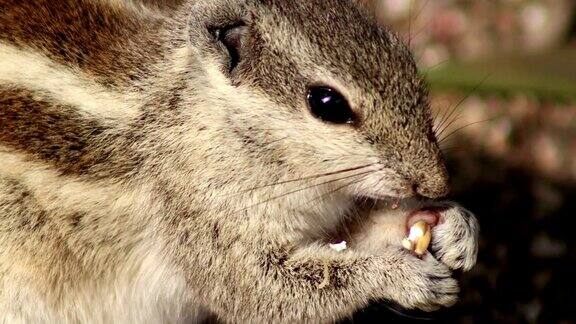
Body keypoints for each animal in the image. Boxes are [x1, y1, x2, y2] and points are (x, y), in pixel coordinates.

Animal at [0, 0, 476, 322]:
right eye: (327, 103)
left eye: (407, 59)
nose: (437, 182)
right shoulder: (202, 218)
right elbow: (261, 288)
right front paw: (397, 274)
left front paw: (453, 225)